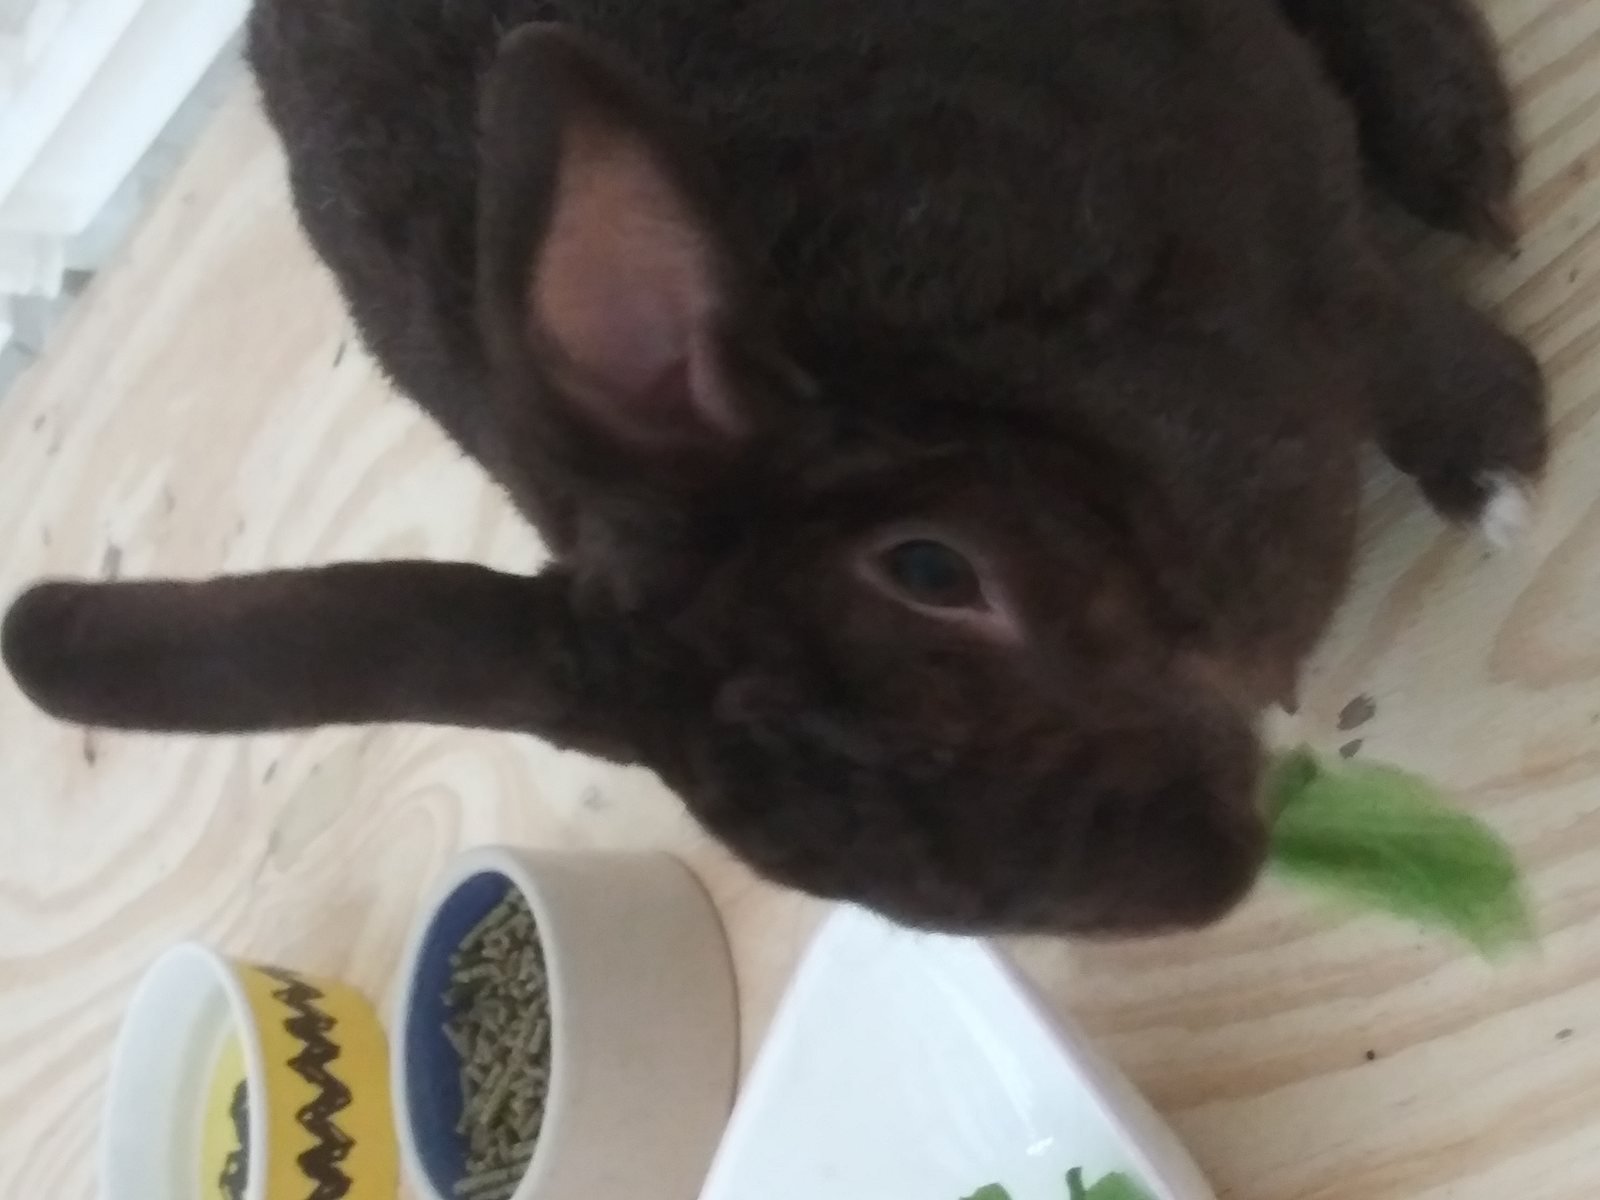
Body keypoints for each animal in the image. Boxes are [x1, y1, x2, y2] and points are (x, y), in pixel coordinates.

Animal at [2, 0, 1548, 936]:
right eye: (754, 833)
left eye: (932, 567)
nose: (1211, 865)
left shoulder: (1282, 216)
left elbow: (1390, 328)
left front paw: (1500, 467)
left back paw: (1456, 144)